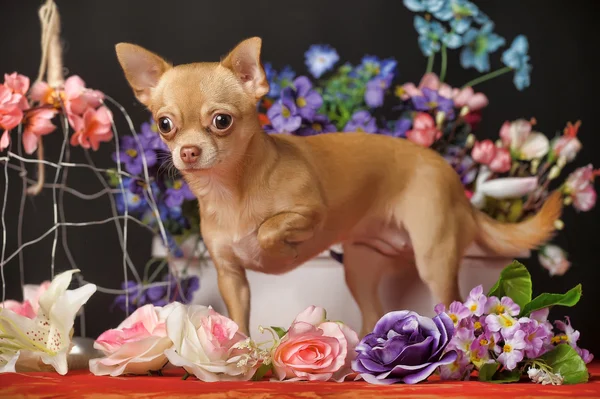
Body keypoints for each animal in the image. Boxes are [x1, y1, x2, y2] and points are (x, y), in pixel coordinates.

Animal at [116, 37, 564, 338]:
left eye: (221, 121)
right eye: (165, 124)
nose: (188, 151)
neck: (231, 191)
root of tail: (452, 177)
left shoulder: (311, 213)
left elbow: (270, 227)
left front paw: (278, 250)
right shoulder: (231, 276)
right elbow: (237, 316)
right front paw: (238, 352)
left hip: (434, 259)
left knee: (447, 301)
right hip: (361, 267)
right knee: (372, 311)